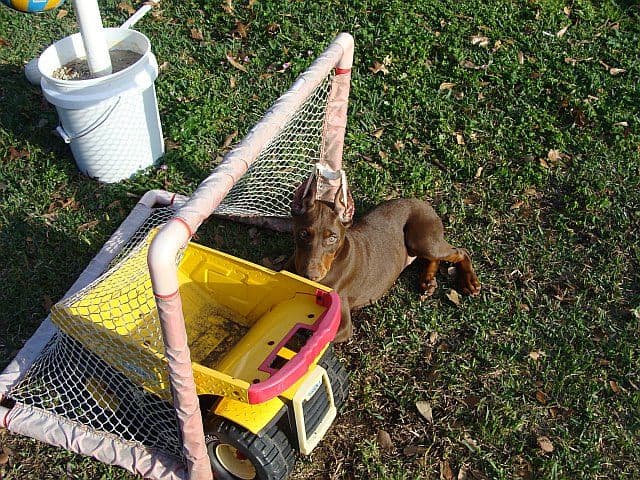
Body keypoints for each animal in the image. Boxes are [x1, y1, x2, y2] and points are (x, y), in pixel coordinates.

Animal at [288, 179, 480, 342]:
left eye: (332, 238)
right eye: (303, 233)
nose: (310, 275)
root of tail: (421, 201)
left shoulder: (341, 326)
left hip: (423, 241)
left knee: (460, 251)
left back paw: (470, 282)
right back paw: (428, 281)